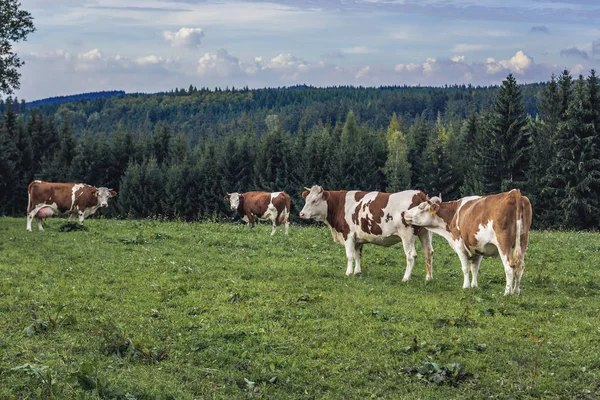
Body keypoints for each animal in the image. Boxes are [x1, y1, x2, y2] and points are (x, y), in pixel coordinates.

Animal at [298, 186, 432, 280]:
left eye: (315, 200)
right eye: (306, 199)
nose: (301, 214)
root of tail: (419, 194)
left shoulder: (348, 234)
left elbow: (349, 255)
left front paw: (348, 273)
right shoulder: (358, 238)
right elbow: (358, 254)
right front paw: (357, 272)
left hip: (407, 234)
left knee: (411, 255)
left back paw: (406, 278)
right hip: (425, 232)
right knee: (428, 252)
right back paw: (428, 278)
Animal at [400, 189, 532, 296]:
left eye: (421, 207)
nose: (404, 213)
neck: (453, 213)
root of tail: (513, 193)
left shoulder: (459, 245)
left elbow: (465, 268)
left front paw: (466, 286)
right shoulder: (478, 247)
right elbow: (474, 268)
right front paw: (474, 286)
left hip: (503, 243)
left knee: (509, 266)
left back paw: (507, 293)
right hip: (523, 241)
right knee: (520, 265)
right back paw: (516, 291)